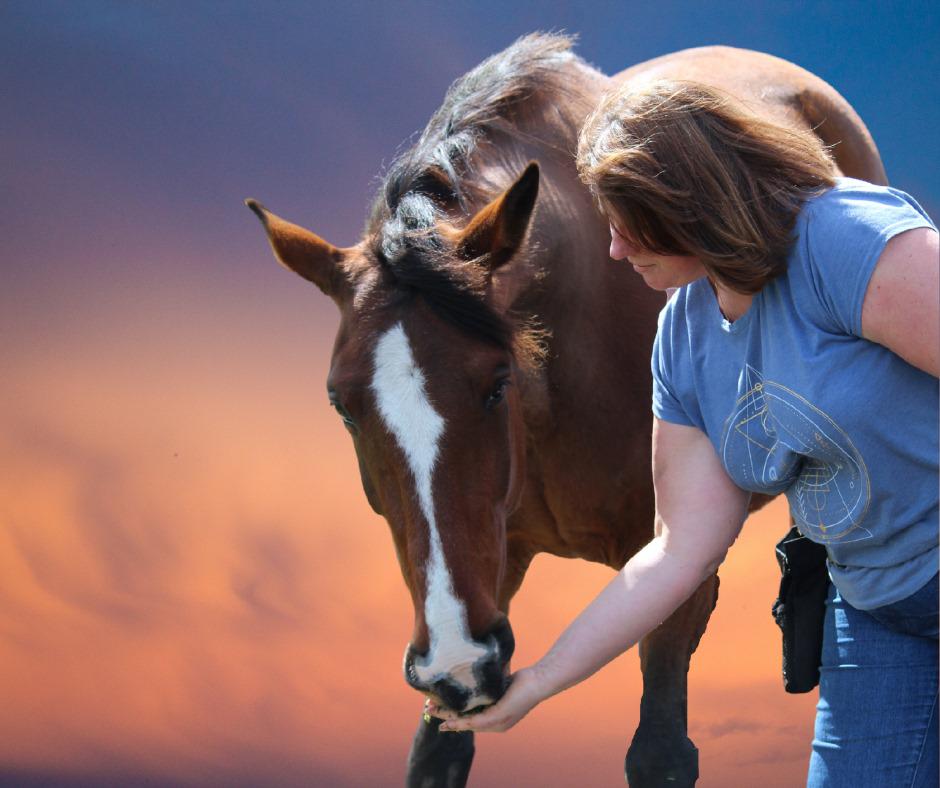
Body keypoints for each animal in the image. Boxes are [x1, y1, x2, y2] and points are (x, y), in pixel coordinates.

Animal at [246, 34, 886, 787]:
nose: (457, 666)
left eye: (497, 384)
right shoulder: (489, 569)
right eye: (343, 406)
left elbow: (660, 753)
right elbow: (436, 752)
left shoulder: (677, 571)